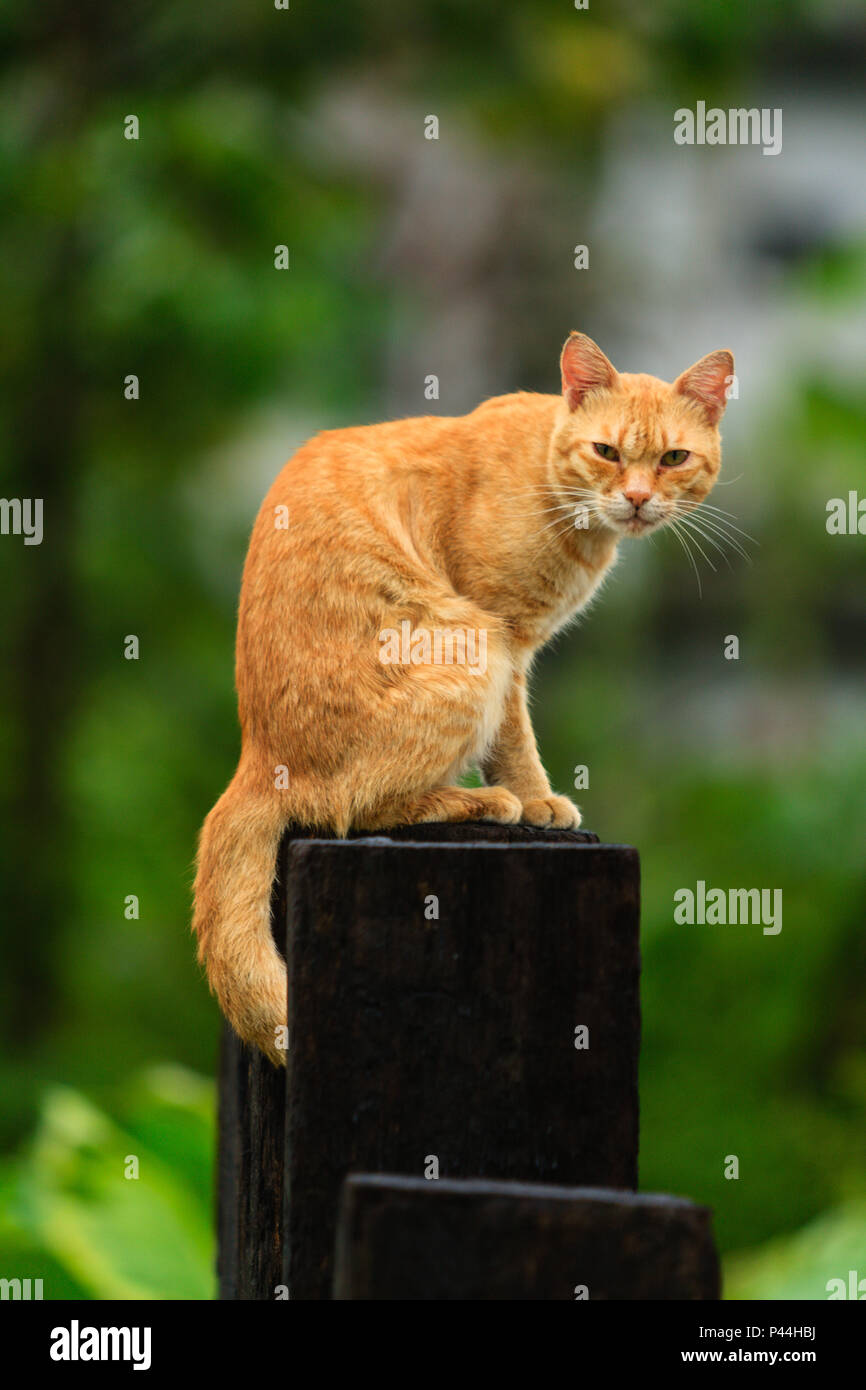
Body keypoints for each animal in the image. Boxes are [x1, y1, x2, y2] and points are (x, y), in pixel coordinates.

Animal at [194, 330, 733, 1056]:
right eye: (607, 452)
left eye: (674, 458)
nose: (640, 498)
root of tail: (257, 756)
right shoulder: (504, 635)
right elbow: (515, 739)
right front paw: (537, 800)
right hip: (472, 656)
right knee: (354, 808)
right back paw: (482, 801)